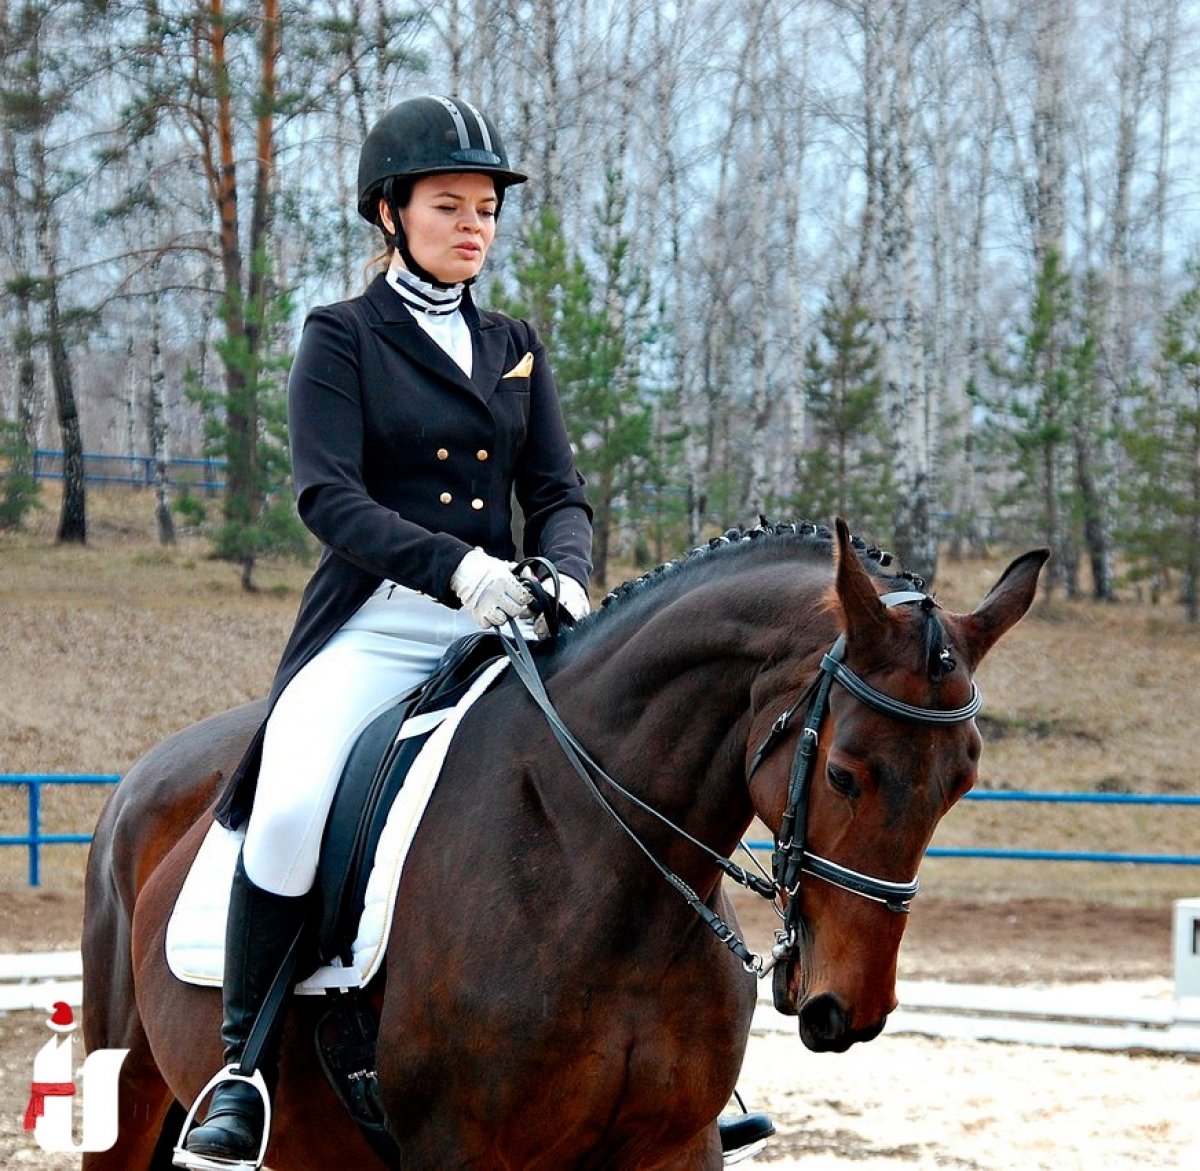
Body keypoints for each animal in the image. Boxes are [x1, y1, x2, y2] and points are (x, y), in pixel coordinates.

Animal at [82, 520, 1041, 1171]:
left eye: (961, 780)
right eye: (843, 773)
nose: (849, 1011)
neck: (601, 880)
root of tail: (139, 778)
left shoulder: (676, 1145)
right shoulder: (460, 1151)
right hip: (128, 1087)